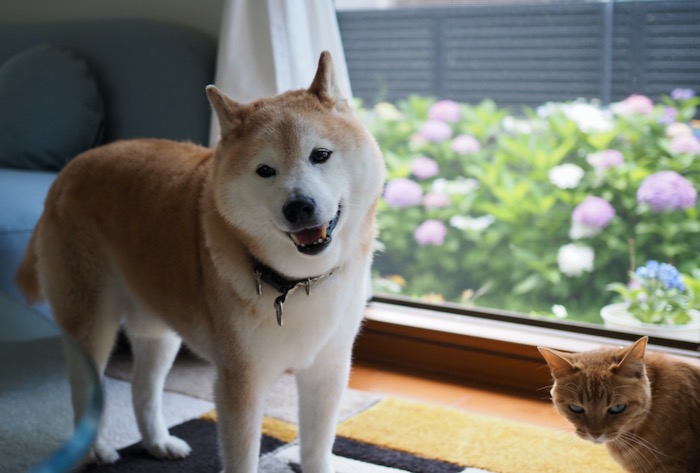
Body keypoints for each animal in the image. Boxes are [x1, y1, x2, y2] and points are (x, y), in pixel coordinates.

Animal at [16, 51, 385, 473]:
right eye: (265, 171)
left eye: (320, 155)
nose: (299, 207)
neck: (296, 283)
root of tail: (66, 171)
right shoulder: (241, 379)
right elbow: (242, 456)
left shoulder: (327, 370)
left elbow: (317, 449)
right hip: (92, 321)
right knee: (85, 389)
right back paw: (94, 450)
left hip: (157, 328)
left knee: (143, 389)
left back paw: (158, 442)